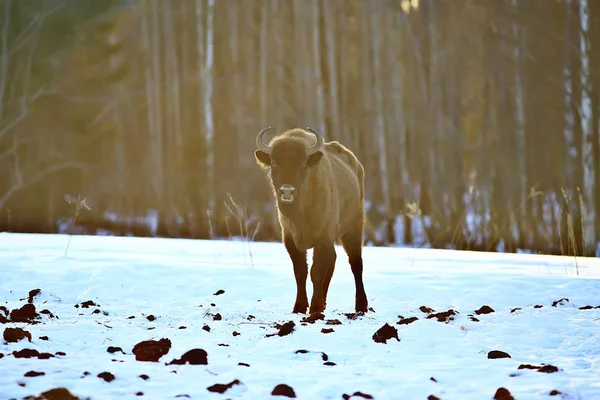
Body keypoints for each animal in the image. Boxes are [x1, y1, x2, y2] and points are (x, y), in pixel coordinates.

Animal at [252, 126, 368, 316]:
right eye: (274, 163)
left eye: (303, 163)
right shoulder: (290, 239)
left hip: (353, 228)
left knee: (355, 263)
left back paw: (361, 305)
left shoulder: (323, 237)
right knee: (333, 261)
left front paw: (314, 307)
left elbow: (316, 272)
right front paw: (299, 307)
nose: (287, 191)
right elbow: (301, 271)